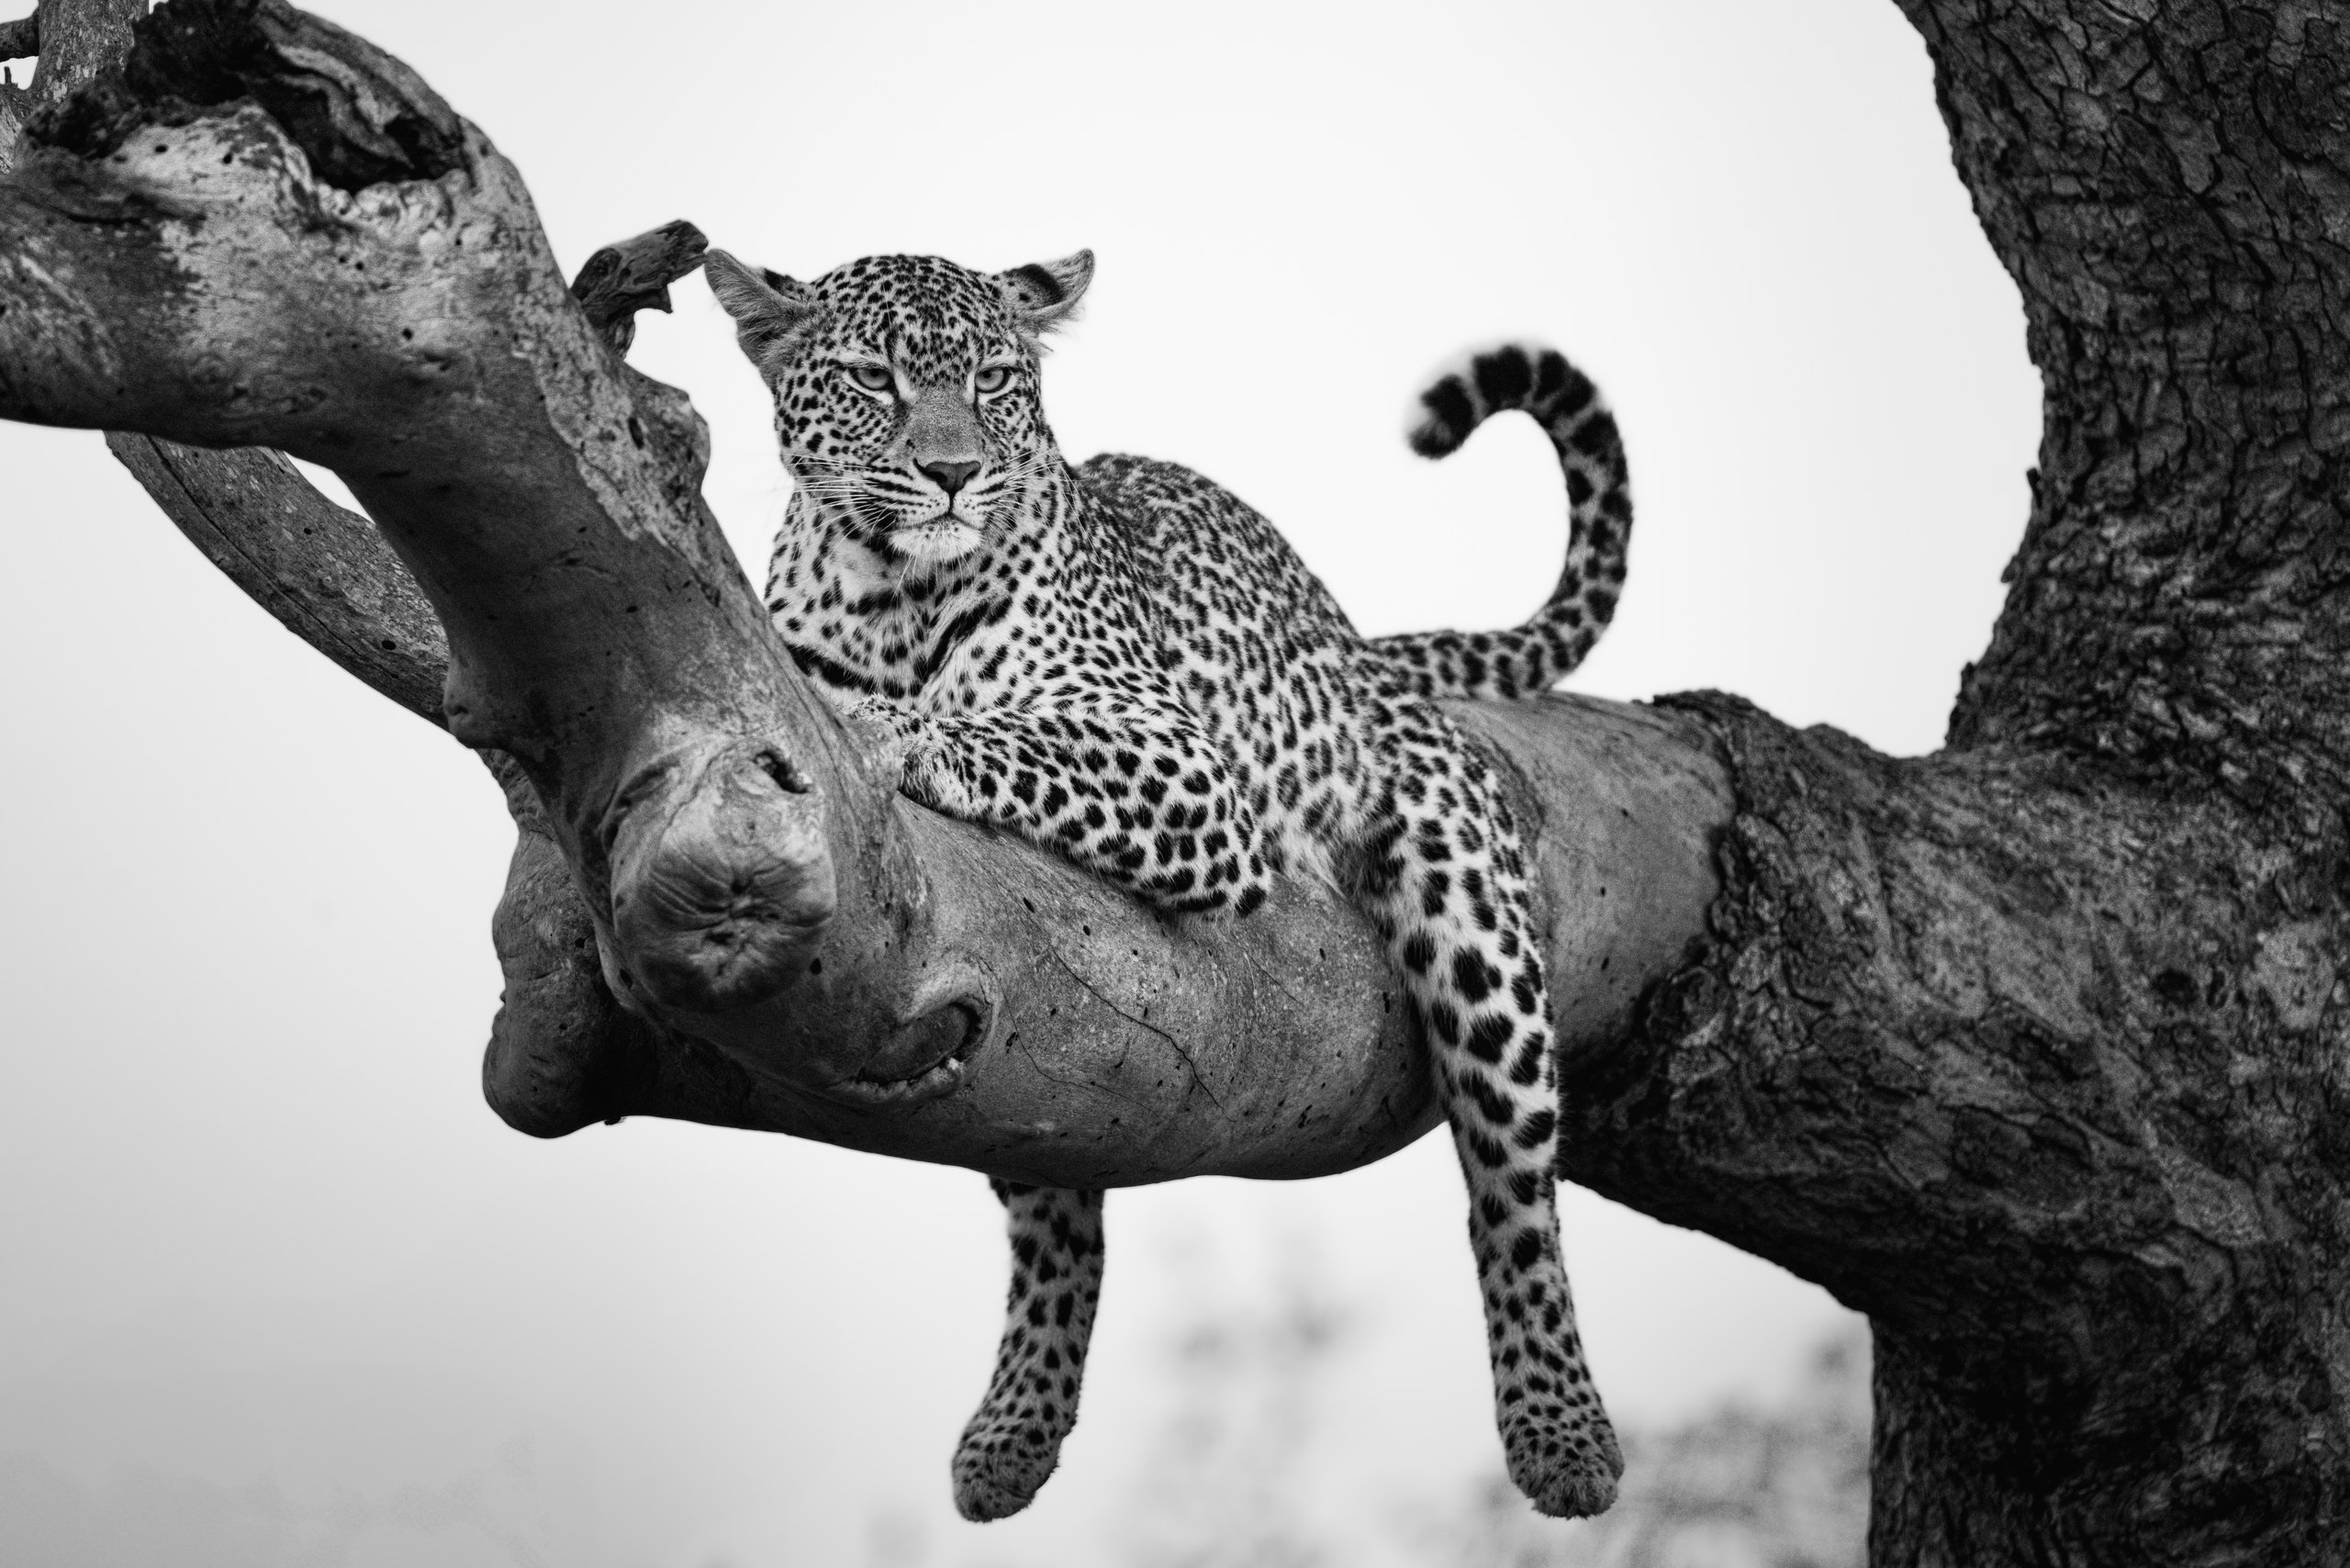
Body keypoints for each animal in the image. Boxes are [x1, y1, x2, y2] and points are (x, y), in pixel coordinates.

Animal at [704, 244, 1633, 1524]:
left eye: (995, 380)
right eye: (870, 379)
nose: (953, 474)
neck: (895, 597)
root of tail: (1356, 647)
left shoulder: (1183, 763)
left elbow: (998, 729)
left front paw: (889, 727)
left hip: (1471, 909)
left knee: (1515, 1189)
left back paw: (1563, 1429)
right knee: (1054, 1201)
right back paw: (1013, 1430)